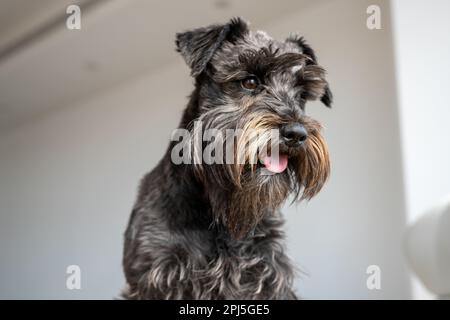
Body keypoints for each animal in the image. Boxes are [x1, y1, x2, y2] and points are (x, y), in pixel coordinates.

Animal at [121, 17, 332, 298]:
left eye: (301, 95)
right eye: (250, 82)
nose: (297, 134)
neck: (219, 214)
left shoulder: (269, 275)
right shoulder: (155, 275)